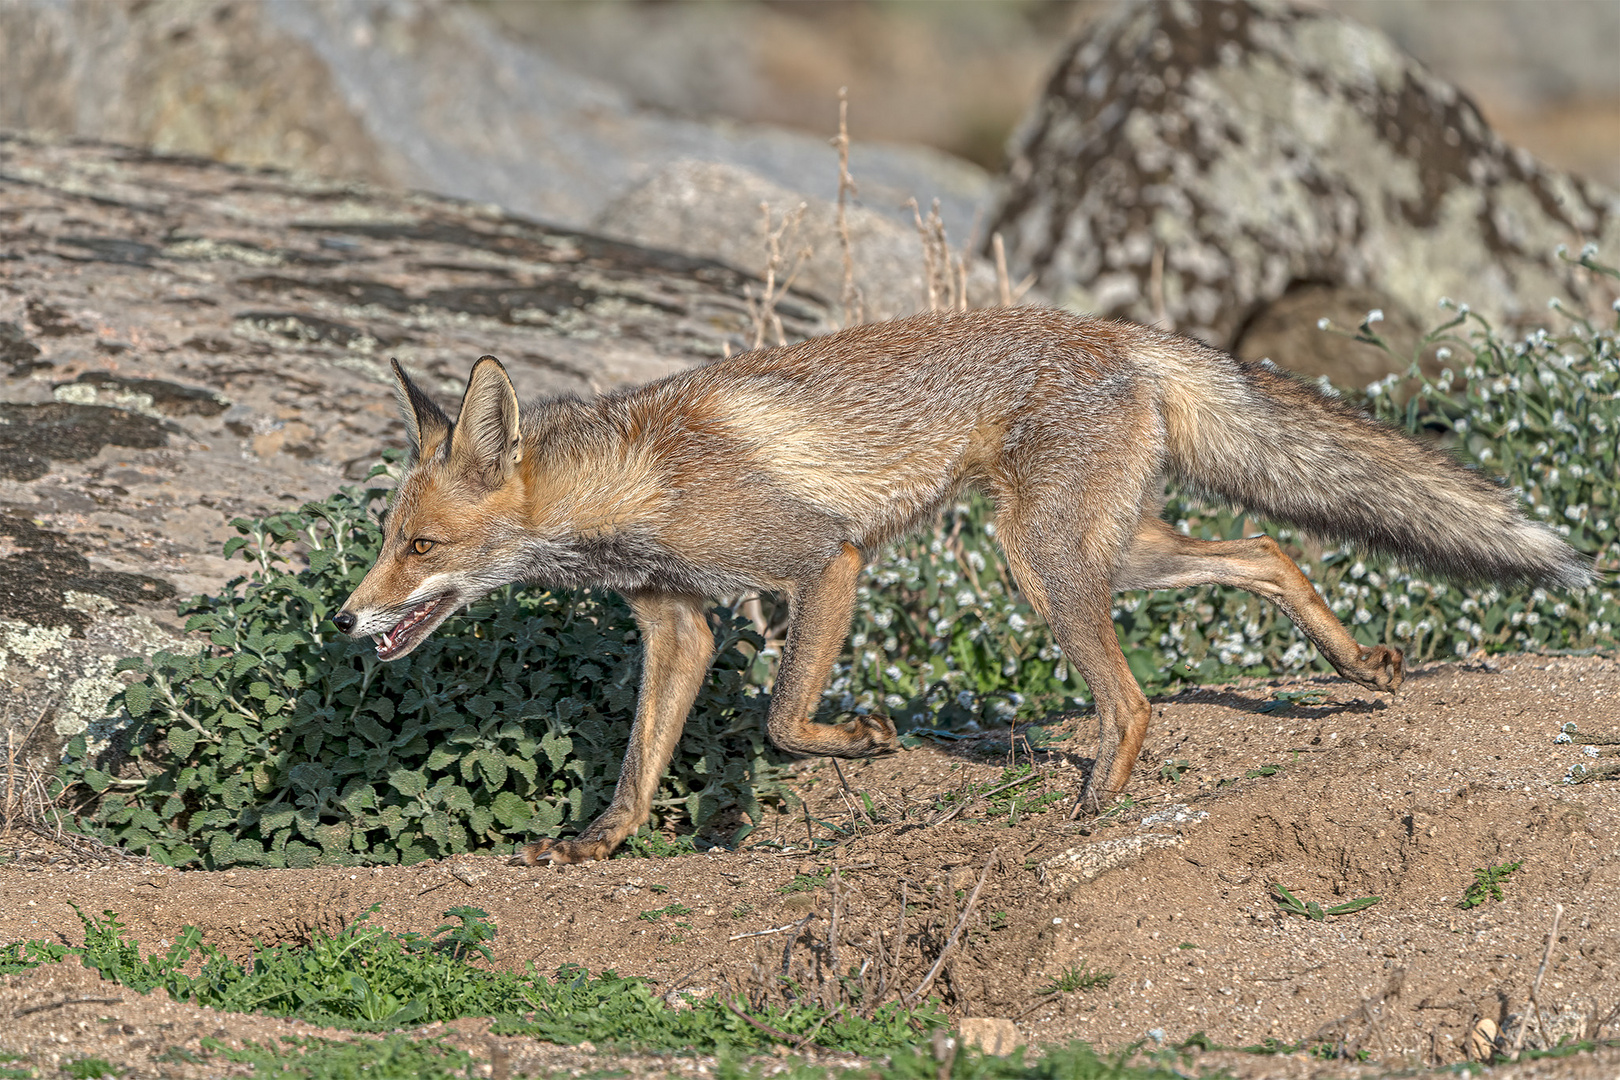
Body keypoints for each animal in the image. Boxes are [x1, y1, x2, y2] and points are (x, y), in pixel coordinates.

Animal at [335, 307, 1587, 867]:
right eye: (389, 539)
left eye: (419, 546)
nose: (346, 619)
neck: (640, 482)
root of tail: (1122, 333)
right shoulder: (675, 622)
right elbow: (641, 765)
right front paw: (599, 843)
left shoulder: (823, 560)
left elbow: (784, 721)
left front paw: (865, 739)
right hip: (1114, 547)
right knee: (1268, 553)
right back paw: (1356, 662)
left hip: (1043, 562)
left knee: (1136, 699)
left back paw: (1098, 805)